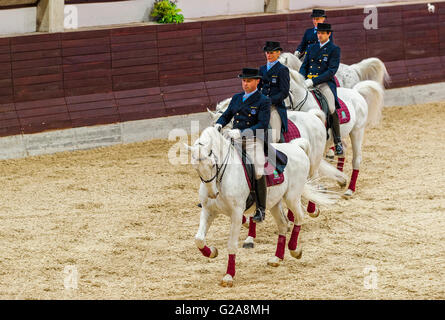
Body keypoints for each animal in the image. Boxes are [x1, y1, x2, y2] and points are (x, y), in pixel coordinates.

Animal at [186, 126, 338, 286]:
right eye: (195, 167)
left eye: (213, 164)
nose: (212, 194)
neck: (223, 177)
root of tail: (296, 147)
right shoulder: (208, 210)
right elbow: (199, 239)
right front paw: (212, 252)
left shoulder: (236, 214)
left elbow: (231, 244)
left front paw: (229, 275)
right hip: (275, 203)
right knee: (283, 224)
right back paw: (277, 258)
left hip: (291, 197)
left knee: (299, 218)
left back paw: (294, 250)